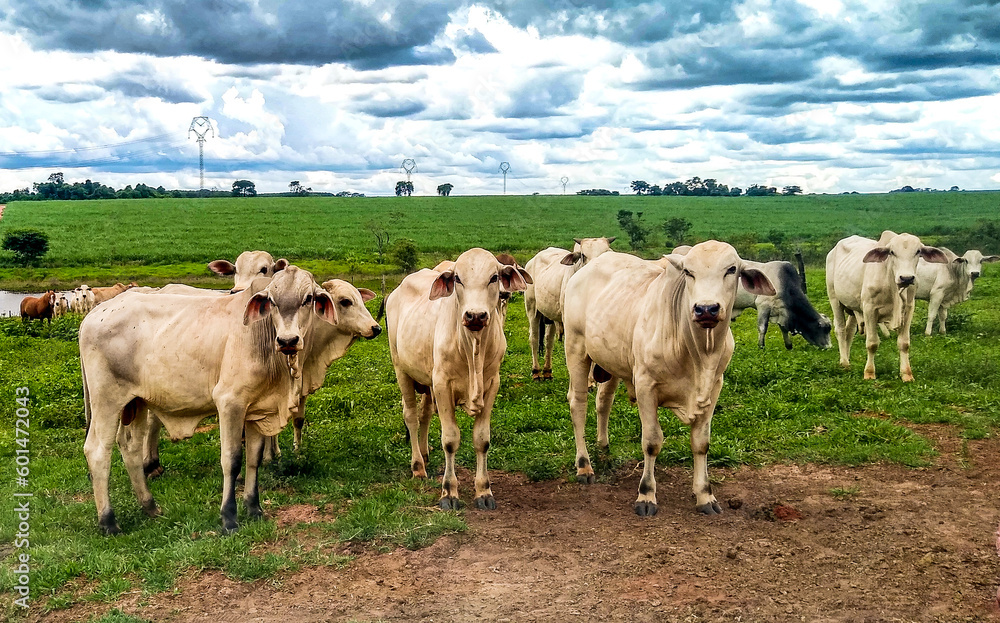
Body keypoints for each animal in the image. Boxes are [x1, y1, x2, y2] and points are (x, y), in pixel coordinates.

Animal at [81, 266, 356, 532]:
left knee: (131, 447)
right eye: (272, 301)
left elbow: (254, 459)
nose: (288, 340)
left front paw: (254, 509)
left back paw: (150, 506)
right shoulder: (229, 403)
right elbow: (231, 461)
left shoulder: (257, 410)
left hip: (135, 402)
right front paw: (229, 518)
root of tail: (93, 314)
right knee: (97, 450)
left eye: (308, 298)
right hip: (107, 401)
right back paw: (108, 521)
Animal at [528, 238, 612, 380]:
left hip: (551, 315)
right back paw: (536, 372)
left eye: (605, 253)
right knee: (534, 337)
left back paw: (547, 371)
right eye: (583, 255)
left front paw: (591, 381)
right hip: (532, 308)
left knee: (548, 340)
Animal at [564, 244, 772, 516]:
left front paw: (705, 495)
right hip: (576, 348)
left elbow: (701, 443)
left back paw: (604, 448)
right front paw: (646, 495)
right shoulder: (645, 386)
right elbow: (652, 441)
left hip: (611, 362)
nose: (706, 309)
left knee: (603, 401)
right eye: (688, 272)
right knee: (578, 404)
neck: (698, 353)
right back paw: (584, 465)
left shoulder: (714, 387)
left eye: (731, 269)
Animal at [828, 233, 944, 382]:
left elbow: (904, 343)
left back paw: (847, 358)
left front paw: (906, 374)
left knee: (849, 331)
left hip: (853, 308)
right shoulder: (869, 309)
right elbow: (872, 343)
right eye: (892, 252)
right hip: (834, 299)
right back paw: (844, 363)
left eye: (918, 251)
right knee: (840, 330)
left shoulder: (908, 309)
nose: (906, 278)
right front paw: (869, 373)